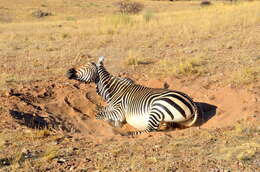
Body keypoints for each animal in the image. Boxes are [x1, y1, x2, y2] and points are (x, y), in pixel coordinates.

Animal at [67, 56, 201, 136]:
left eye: (86, 67)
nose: (68, 71)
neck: (113, 91)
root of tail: (192, 103)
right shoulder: (111, 107)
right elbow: (99, 109)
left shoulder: (118, 112)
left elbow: (99, 114)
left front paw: (114, 123)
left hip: (157, 108)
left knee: (149, 130)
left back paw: (129, 134)